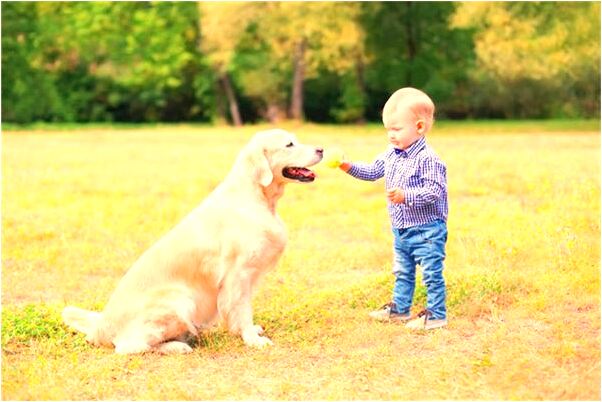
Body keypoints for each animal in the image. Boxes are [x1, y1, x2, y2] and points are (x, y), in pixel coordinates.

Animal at [62, 130, 322, 354]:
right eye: (289, 144)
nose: (321, 149)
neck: (256, 197)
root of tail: (100, 327)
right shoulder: (238, 274)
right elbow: (242, 309)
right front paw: (252, 338)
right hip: (179, 300)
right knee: (129, 346)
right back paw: (177, 346)